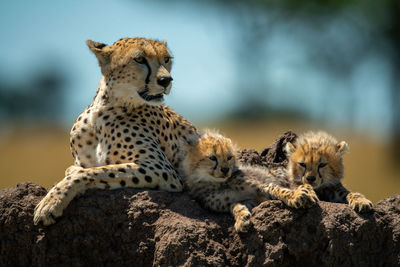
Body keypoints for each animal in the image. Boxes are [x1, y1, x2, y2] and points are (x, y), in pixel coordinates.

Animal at [34, 37, 198, 226]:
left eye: (166, 59)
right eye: (139, 59)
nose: (166, 80)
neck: (102, 111)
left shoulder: (162, 169)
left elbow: (93, 171)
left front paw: (50, 203)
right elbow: (85, 169)